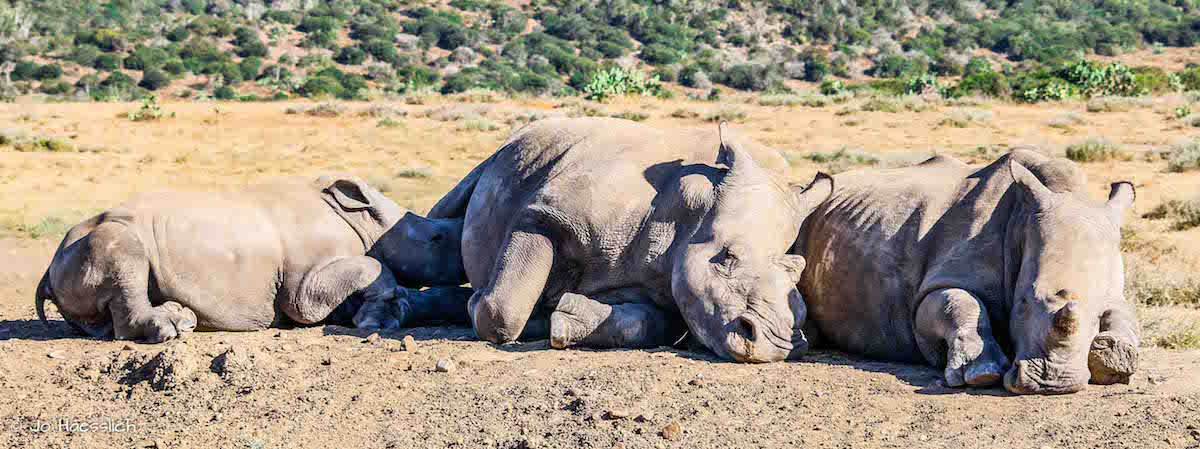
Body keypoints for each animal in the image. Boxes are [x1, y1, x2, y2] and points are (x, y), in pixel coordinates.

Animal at [32, 175, 463, 343]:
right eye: (437, 238)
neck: (362, 222)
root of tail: (47, 270)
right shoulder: (304, 286)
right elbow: (369, 270)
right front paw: (379, 318)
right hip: (94, 241)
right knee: (123, 249)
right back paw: (175, 329)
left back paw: (182, 317)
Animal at [422, 117, 835, 362]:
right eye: (727, 256)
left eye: (798, 268)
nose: (775, 346)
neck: (691, 210)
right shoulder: (543, 214)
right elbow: (505, 310)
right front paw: (476, 302)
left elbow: (650, 323)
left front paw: (563, 317)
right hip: (502, 153)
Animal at [792, 150, 1137, 393]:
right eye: (1022, 303)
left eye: (1095, 316)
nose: (1051, 383)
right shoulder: (940, 281)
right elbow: (961, 303)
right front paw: (981, 373)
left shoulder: (1115, 288)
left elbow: (1124, 315)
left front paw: (1114, 360)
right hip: (805, 212)